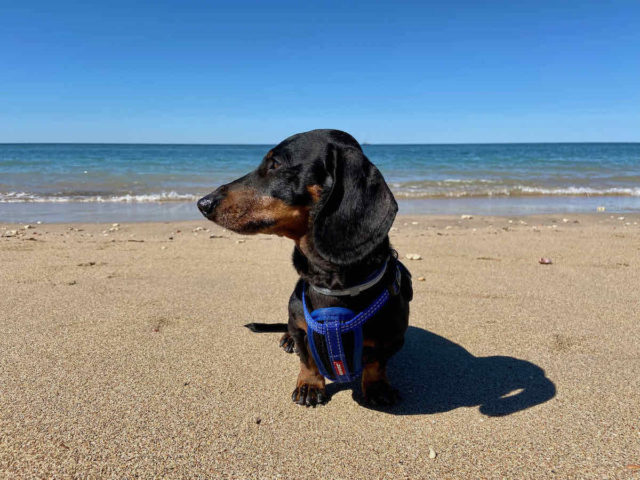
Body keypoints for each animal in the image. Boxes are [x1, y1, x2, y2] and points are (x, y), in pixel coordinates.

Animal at [198, 129, 412, 406]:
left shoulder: (393, 338)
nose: (203, 203)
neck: (332, 285)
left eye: (275, 163)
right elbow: (307, 359)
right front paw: (310, 385)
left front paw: (377, 387)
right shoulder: (300, 327)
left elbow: (376, 362)